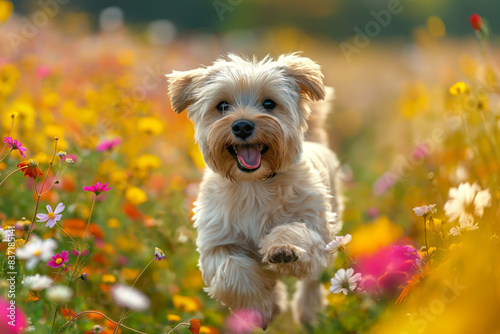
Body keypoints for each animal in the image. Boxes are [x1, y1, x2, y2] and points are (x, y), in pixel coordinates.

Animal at [166, 52, 342, 328]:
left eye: (269, 103)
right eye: (222, 106)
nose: (242, 126)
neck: (254, 185)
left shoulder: (316, 229)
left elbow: (296, 233)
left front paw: (283, 249)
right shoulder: (216, 243)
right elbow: (233, 271)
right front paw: (264, 308)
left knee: (313, 284)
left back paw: (310, 315)